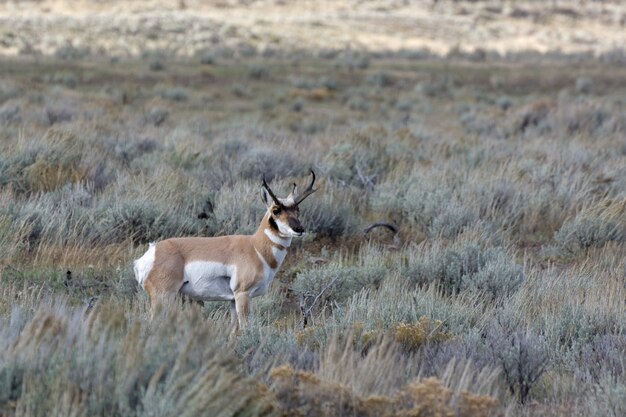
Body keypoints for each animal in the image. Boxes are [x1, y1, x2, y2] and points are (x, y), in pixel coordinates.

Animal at [133, 171, 314, 326]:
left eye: (297, 209)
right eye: (276, 210)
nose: (299, 229)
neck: (255, 247)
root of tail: (152, 252)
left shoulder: (232, 300)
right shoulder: (242, 295)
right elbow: (245, 327)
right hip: (163, 297)